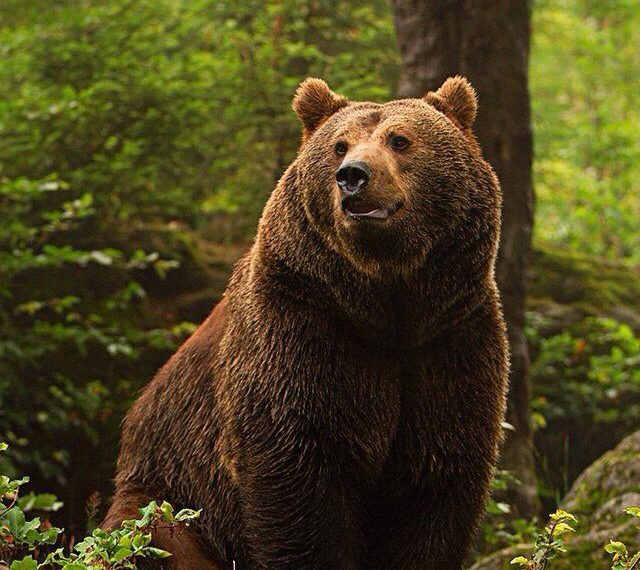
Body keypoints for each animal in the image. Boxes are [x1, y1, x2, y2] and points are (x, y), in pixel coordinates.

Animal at [104, 76, 509, 570]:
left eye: (400, 139)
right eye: (339, 145)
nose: (353, 175)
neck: (388, 305)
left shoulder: (449, 342)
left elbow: (435, 485)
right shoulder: (302, 329)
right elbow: (298, 483)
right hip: (169, 495)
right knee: (150, 537)